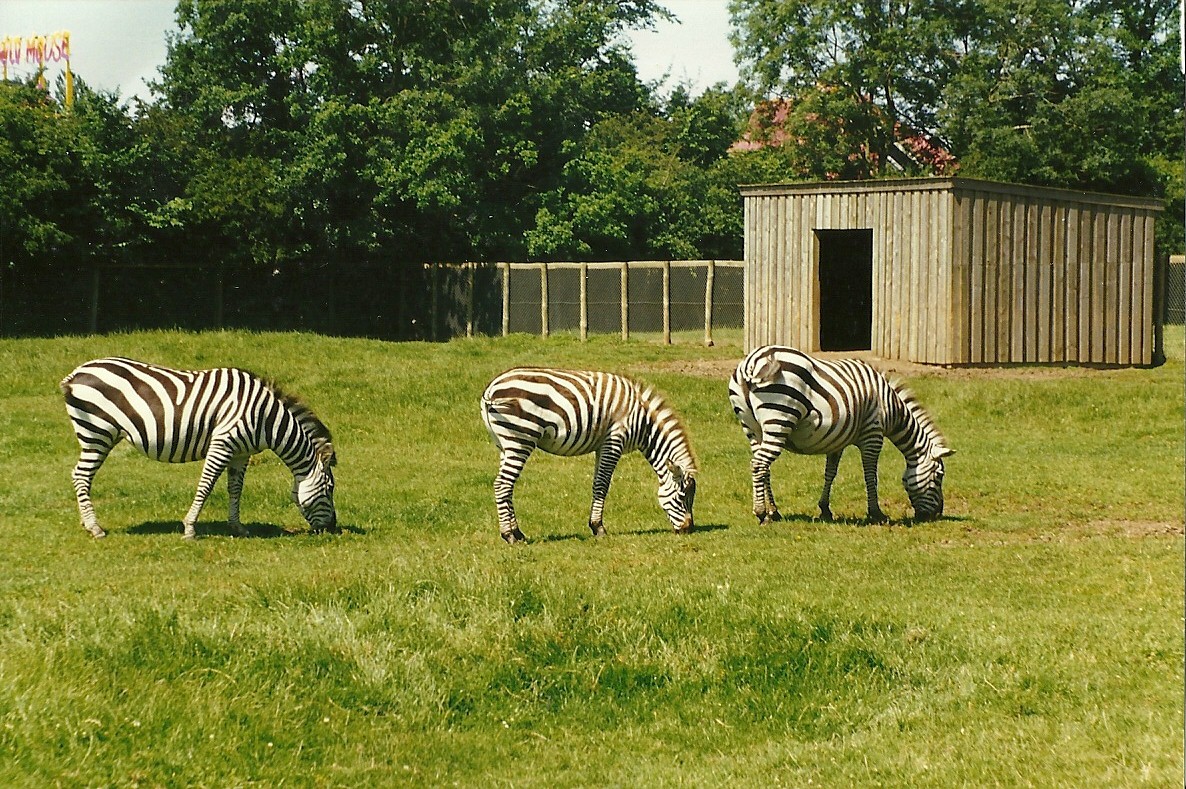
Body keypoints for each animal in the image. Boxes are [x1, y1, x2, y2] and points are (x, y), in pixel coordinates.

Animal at [60, 357, 337, 539]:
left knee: (79, 475)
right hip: (97, 433)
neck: (267, 418)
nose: (333, 529)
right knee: (81, 476)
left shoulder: (241, 453)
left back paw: (87, 523)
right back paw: (95, 527)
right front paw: (190, 528)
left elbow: (235, 489)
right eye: (330, 489)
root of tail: (76, 373)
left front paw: (237, 526)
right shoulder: (222, 443)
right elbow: (206, 486)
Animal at [481, 367, 698, 544]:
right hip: (521, 439)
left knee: (506, 486)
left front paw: (595, 525)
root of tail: (491, 388)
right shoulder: (614, 440)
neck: (643, 422)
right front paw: (598, 528)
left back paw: (518, 534)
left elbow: (596, 483)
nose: (689, 530)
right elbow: (602, 485)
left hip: (505, 444)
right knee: (502, 485)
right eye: (681, 497)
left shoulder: (602, 445)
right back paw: (509, 535)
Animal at [728, 346, 953, 524]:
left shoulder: (836, 439)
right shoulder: (873, 434)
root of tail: (752, 361)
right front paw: (876, 513)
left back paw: (774, 512)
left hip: (753, 429)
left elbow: (830, 473)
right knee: (759, 464)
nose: (937, 515)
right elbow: (870, 475)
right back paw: (761, 513)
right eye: (939, 476)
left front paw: (825, 509)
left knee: (763, 467)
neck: (891, 407)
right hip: (779, 418)